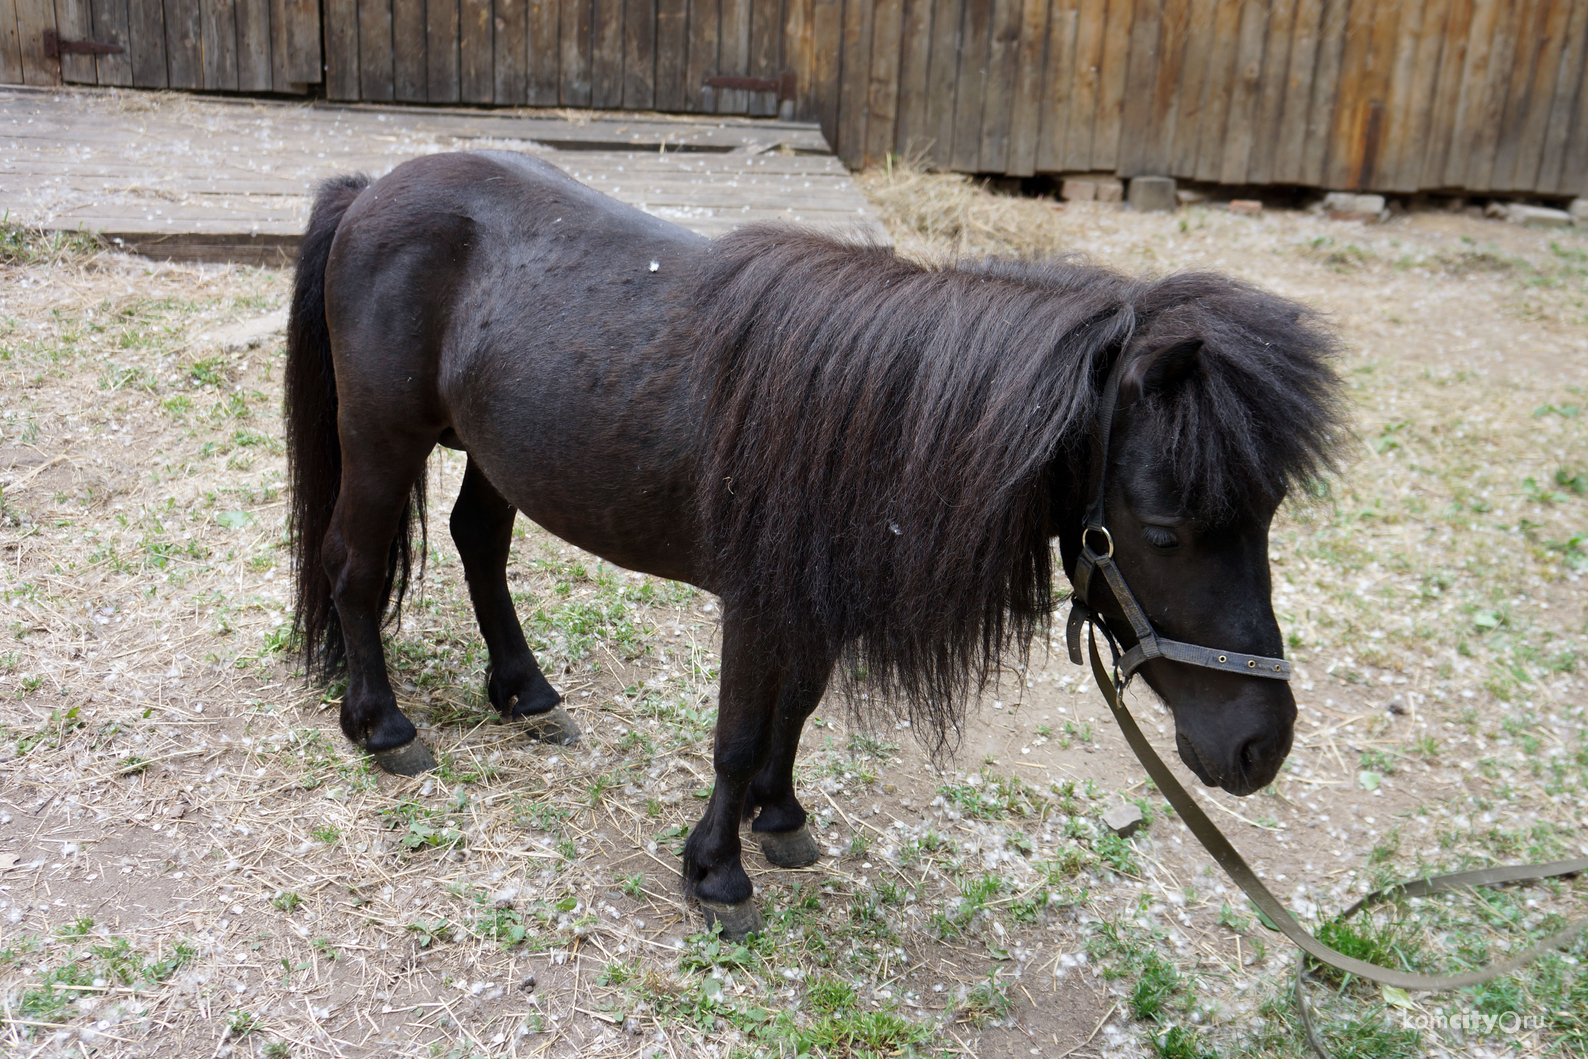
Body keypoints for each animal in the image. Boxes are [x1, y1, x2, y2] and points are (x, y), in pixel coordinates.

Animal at [285, 149, 1340, 933]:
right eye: (1162, 531)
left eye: (1267, 516)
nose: (1261, 748)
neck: (865, 415)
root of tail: (370, 188)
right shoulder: (757, 600)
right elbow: (736, 734)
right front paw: (715, 873)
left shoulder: (815, 594)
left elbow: (795, 709)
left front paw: (780, 817)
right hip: (380, 439)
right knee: (354, 567)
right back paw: (381, 724)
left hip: (488, 450)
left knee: (477, 542)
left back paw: (525, 690)